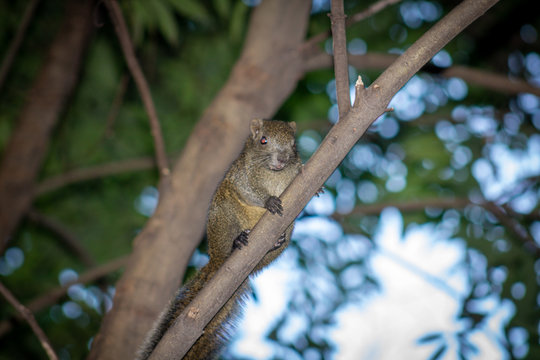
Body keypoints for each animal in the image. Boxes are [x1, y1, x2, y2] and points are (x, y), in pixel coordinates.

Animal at [137, 119, 302, 360]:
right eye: (263, 140)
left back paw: (276, 241)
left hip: (288, 230)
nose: (282, 159)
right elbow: (248, 191)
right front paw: (269, 200)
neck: (275, 174)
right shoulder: (241, 176)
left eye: (293, 143)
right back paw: (237, 242)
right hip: (223, 216)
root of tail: (216, 260)